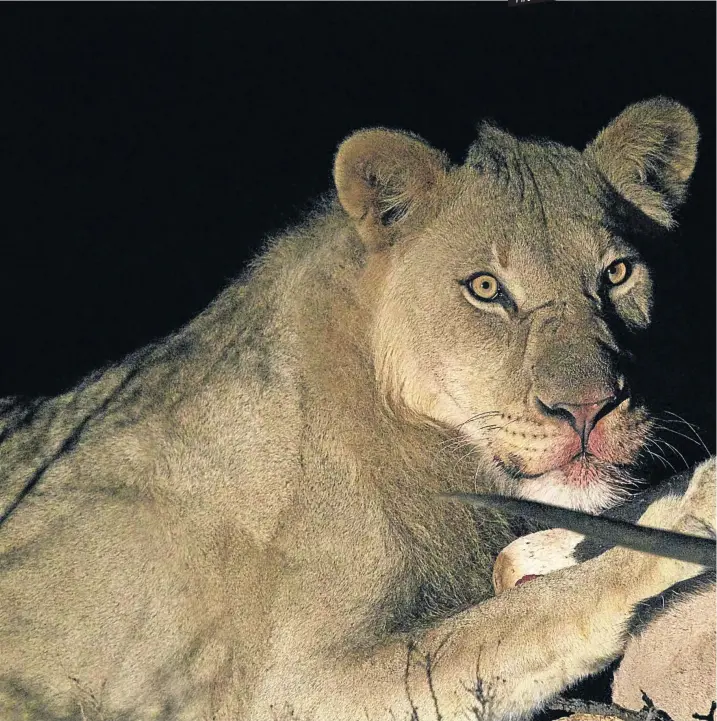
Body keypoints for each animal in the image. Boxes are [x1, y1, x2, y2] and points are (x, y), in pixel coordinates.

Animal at [0, 97, 712, 720]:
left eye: (616, 274)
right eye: (485, 288)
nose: (589, 409)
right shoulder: (291, 687)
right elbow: (525, 615)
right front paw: (684, 518)